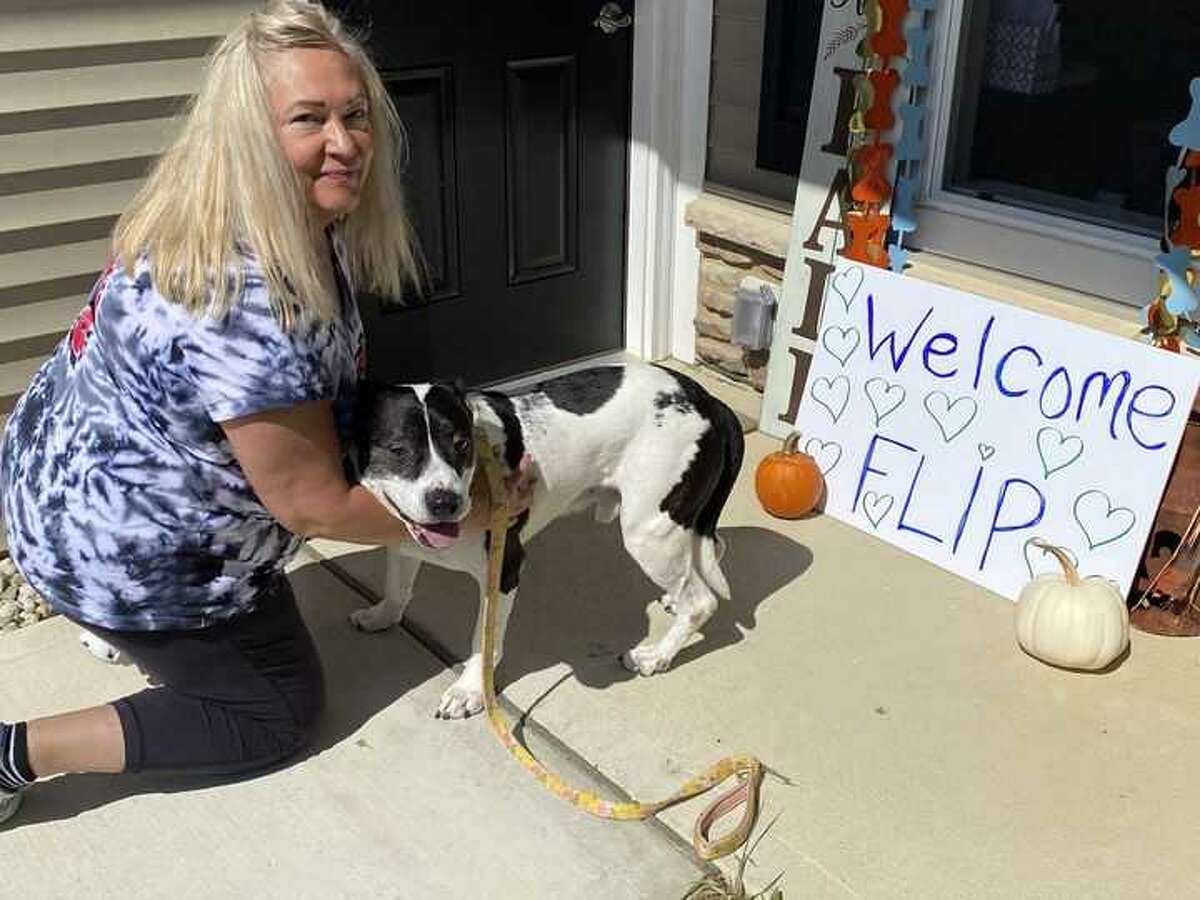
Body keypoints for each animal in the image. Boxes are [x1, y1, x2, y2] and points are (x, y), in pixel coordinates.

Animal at [348, 362, 739, 724]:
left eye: (461, 444)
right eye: (397, 449)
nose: (446, 502)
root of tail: (708, 401)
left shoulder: (504, 570)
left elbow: (483, 642)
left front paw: (469, 690)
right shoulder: (403, 545)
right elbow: (397, 588)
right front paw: (382, 616)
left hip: (648, 533)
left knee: (702, 601)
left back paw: (657, 656)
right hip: (677, 525)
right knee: (711, 552)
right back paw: (674, 600)